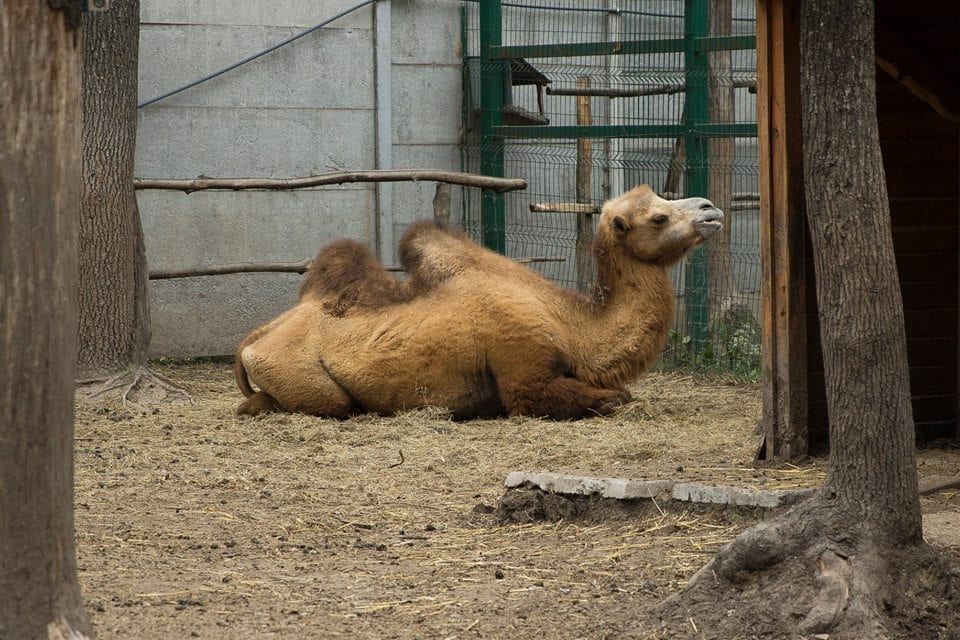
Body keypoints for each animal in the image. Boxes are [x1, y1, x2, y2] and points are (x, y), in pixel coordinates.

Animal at [236, 185, 724, 420]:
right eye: (658, 216)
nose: (710, 209)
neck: (572, 326)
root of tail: (251, 342)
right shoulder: (525, 372)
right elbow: (615, 397)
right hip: (304, 377)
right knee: (326, 404)